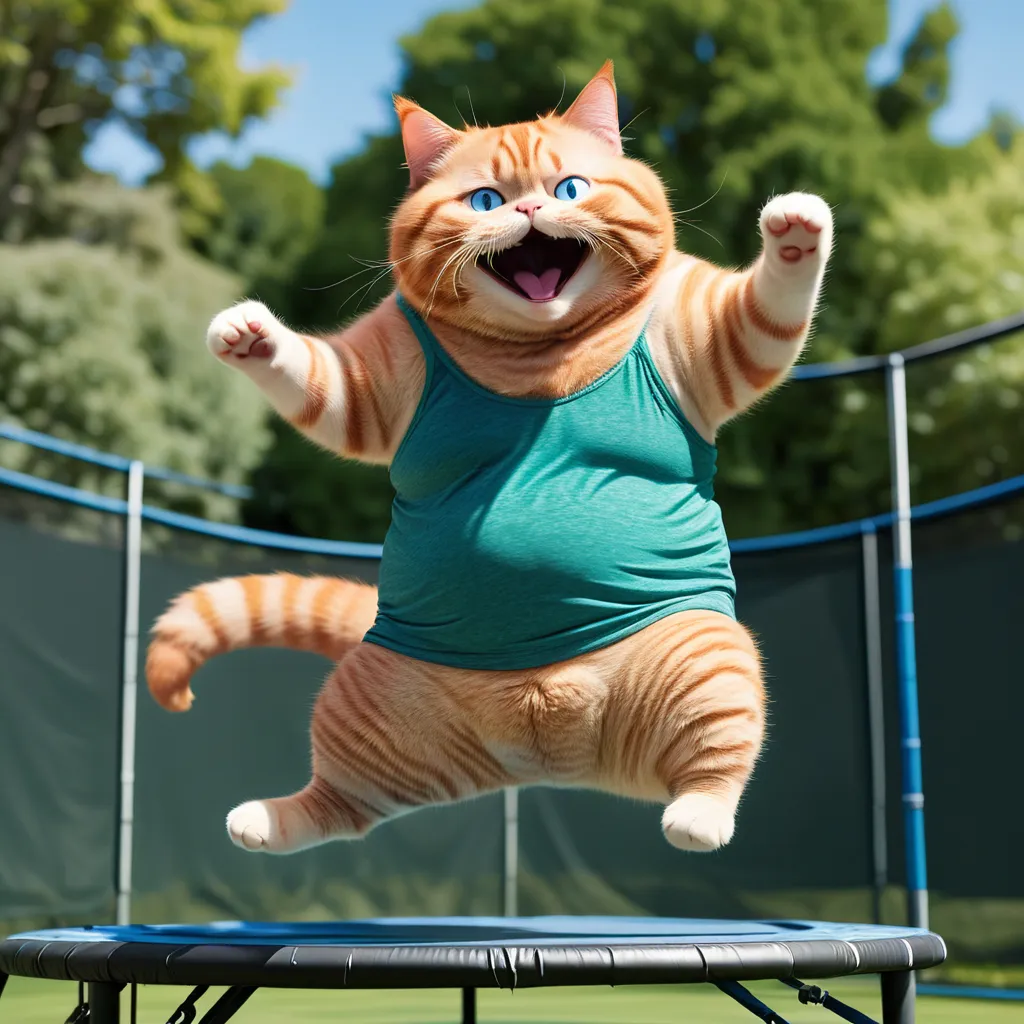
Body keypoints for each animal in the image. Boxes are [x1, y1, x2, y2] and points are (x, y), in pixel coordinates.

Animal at [144, 61, 831, 856]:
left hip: (705, 658)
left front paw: (795, 231)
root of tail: (549, 762)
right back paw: (263, 818)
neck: (540, 351)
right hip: (364, 703)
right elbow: (322, 382)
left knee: (714, 764)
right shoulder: (374, 382)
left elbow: (762, 314)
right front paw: (251, 336)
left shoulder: (708, 337)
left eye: (569, 188)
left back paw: (700, 815)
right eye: (485, 201)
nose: (531, 209)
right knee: (339, 805)